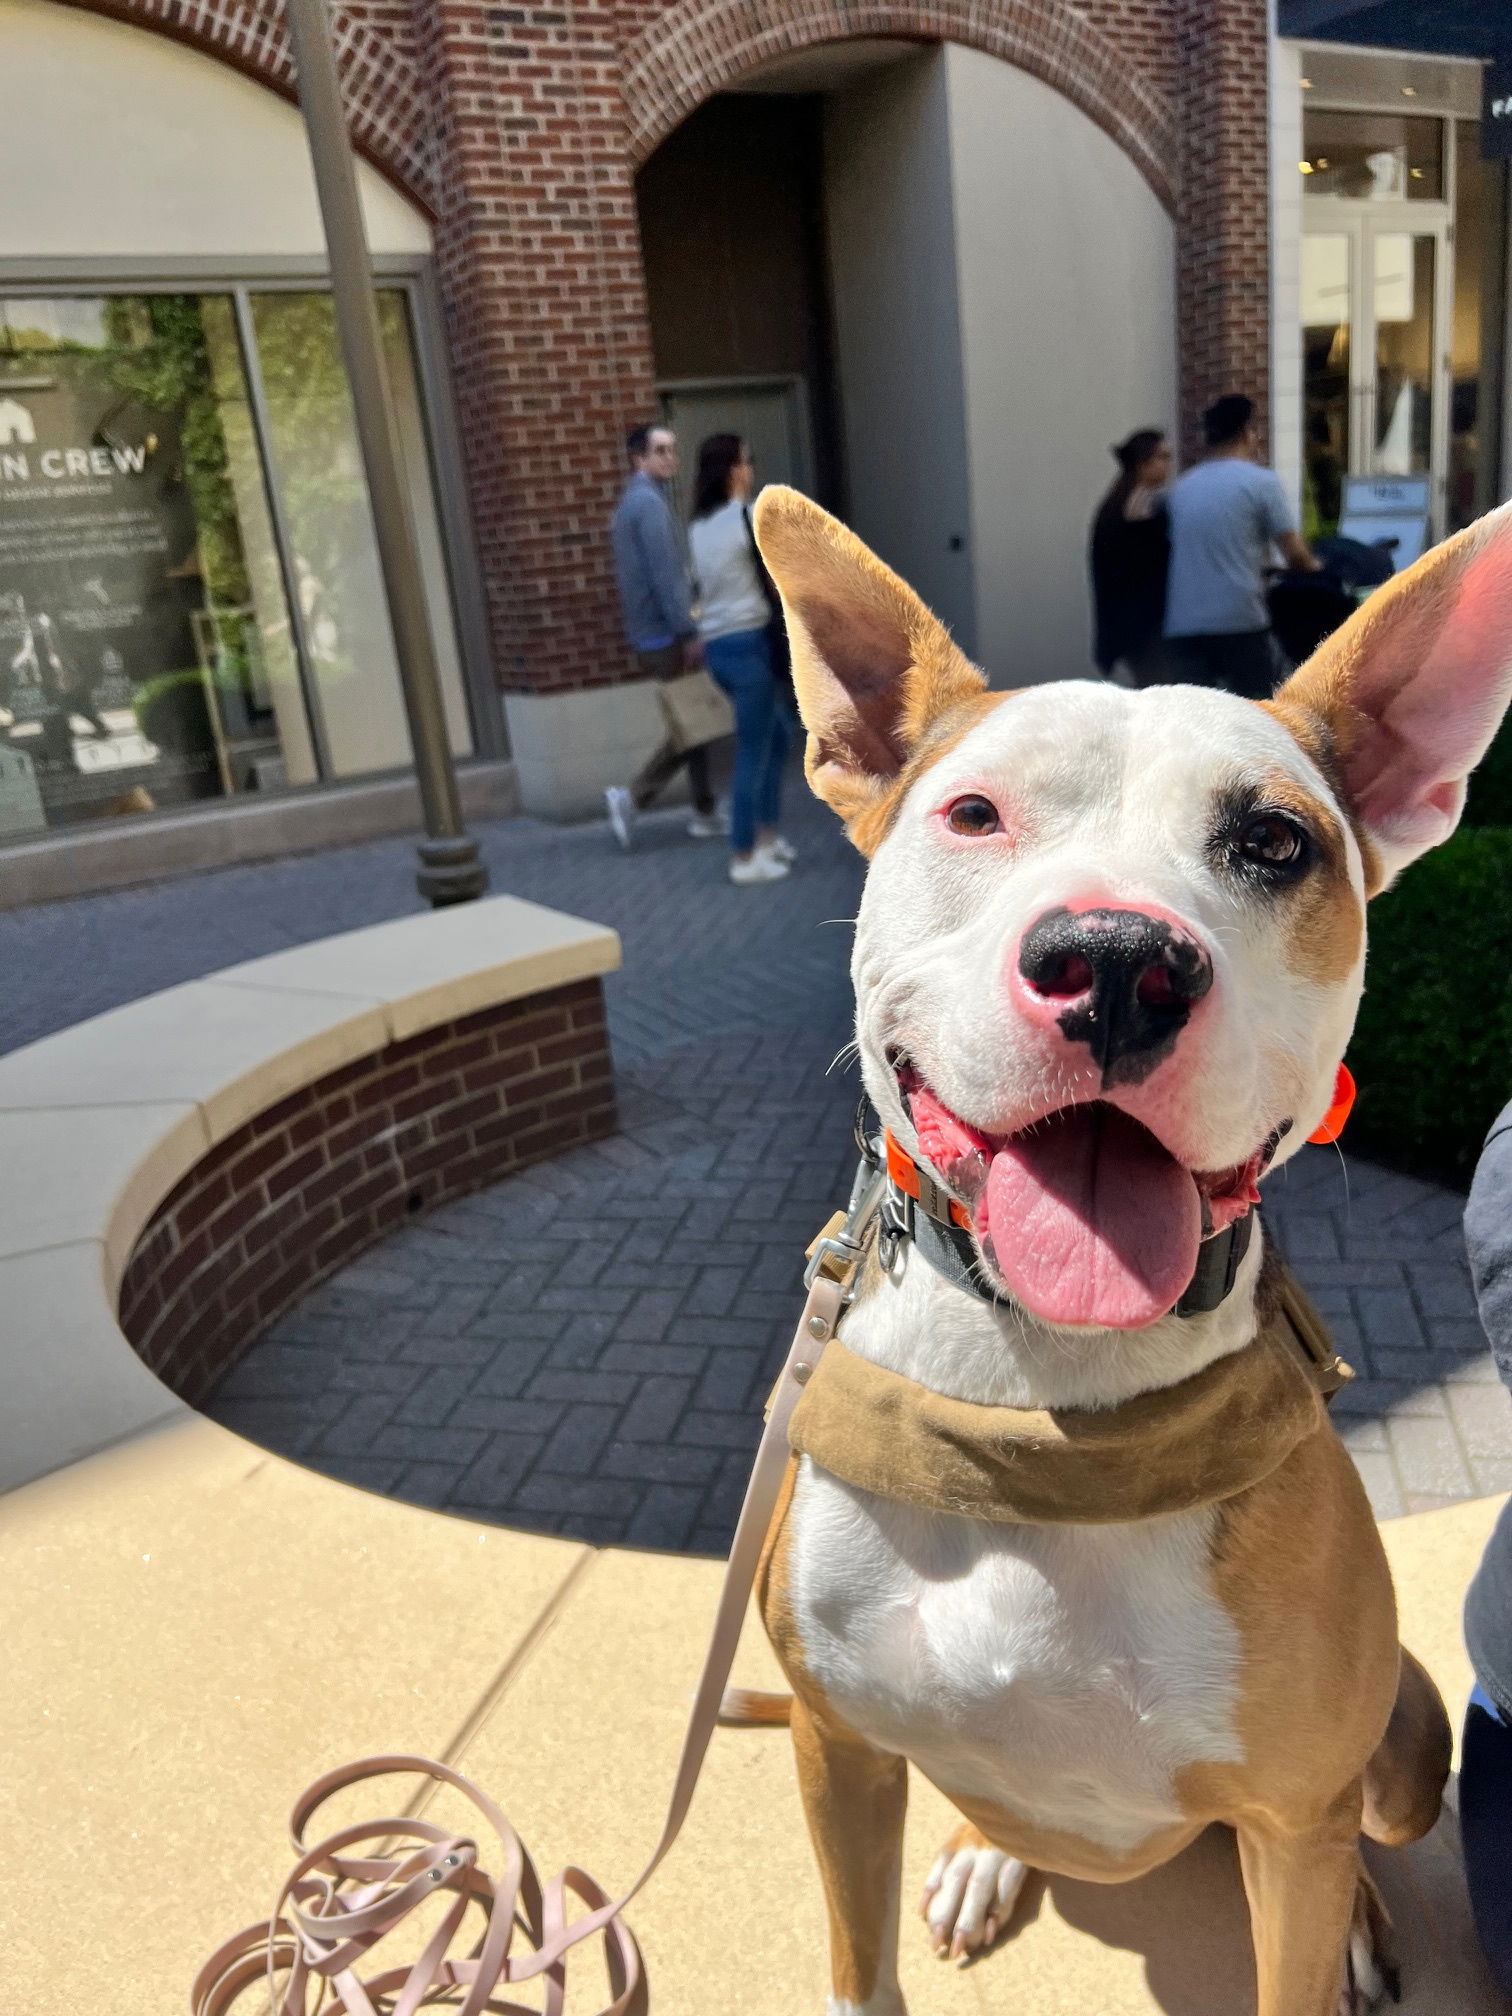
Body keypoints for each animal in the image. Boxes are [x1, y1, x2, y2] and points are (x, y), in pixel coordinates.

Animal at [753, 487, 1512, 2016]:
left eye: (1275, 843)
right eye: (973, 813)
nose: (1114, 960)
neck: (1046, 1398)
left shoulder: (1295, 1807)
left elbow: (1295, 1925)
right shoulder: (832, 1741)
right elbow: (859, 1962)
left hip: (1397, 1751)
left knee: (1360, 1839)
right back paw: (988, 1857)